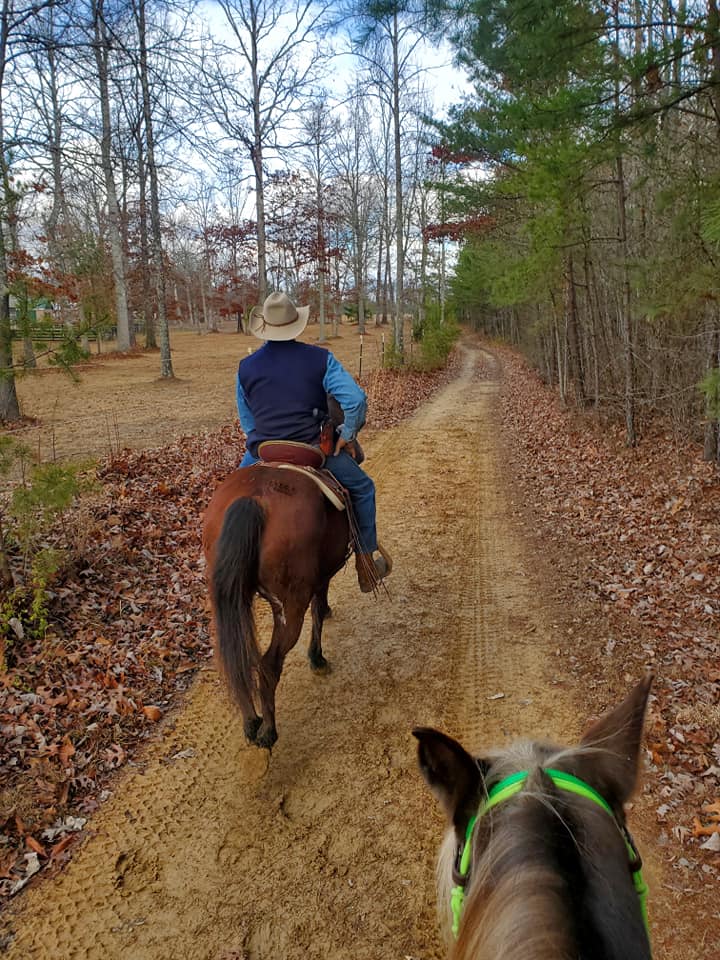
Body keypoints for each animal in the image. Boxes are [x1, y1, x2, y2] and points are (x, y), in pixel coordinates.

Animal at [202, 464, 348, 752]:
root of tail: (253, 500)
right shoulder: (320, 577)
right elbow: (317, 609)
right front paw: (317, 657)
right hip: (289, 606)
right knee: (269, 664)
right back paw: (268, 731)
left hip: (230, 601)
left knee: (237, 660)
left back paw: (251, 723)